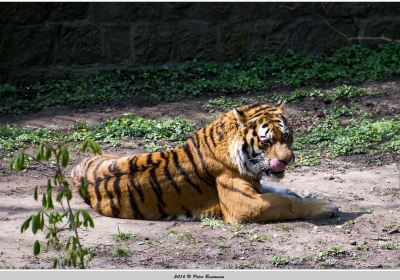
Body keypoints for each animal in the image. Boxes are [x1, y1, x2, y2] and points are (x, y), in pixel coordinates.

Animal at [71, 101, 338, 224]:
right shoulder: (243, 204)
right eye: (267, 141)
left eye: (287, 136)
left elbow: (279, 190)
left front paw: (303, 192)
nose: (287, 160)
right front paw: (325, 206)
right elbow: (284, 203)